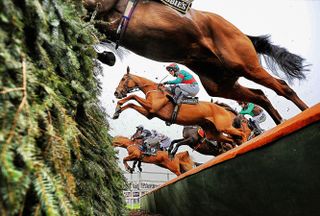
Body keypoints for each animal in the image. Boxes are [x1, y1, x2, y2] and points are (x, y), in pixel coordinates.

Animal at [84, 0, 308, 125]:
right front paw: (106, 56)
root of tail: (244, 35)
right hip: (220, 84)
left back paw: (304, 112)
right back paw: (279, 122)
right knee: (260, 96)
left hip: (246, 65)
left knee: (282, 87)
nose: (116, 93)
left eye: (124, 81)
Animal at [114, 68, 246, 145]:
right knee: (232, 139)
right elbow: (131, 103)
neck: (154, 90)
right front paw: (117, 111)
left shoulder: (151, 107)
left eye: (123, 79)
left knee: (242, 133)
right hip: (213, 133)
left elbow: (133, 97)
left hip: (224, 127)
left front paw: (118, 105)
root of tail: (223, 109)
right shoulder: (150, 113)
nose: (116, 93)